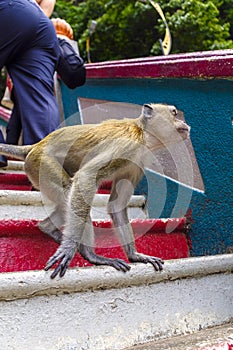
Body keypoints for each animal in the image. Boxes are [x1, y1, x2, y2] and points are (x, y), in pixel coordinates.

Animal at [0, 102, 190, 278]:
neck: (143, 133)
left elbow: (117, 205)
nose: (184, 123)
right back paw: (90, 255)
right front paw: (69, 248)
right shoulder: (127, 144)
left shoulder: (136, 164)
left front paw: (134, 255)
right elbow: (86, 177)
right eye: (174, 113)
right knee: (72, 190)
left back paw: (48, 228)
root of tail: (35, 146)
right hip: (40, 164)